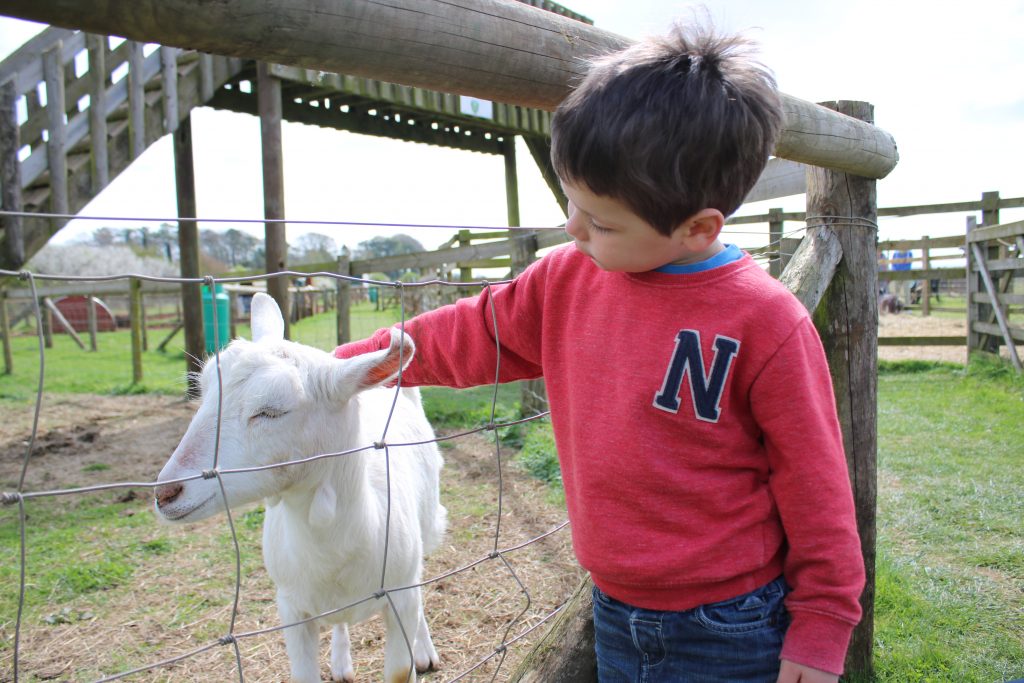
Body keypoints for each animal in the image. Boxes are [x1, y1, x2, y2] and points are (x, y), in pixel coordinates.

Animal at [155, 293, 447, 683]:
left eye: (271, 411)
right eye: (203, 393)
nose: (166, 494)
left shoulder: (400, 591)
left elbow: (401, 666)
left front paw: (418, 654)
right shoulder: (291, 609)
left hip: (427, 526)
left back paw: (424, 650)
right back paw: (341, 661)